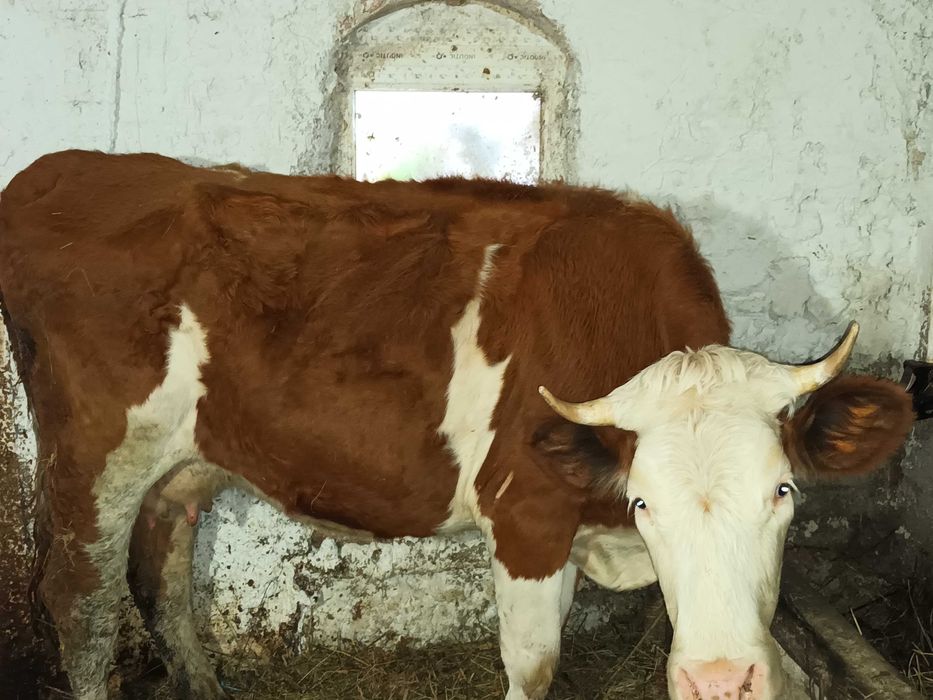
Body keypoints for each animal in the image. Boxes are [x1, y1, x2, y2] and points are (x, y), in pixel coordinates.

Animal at [0, 150, 914, 700]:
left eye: (783, 492)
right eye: (642, 501)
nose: (720, 679)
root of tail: (63, 170)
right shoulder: (527, 516)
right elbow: (534, 668)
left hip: (180, 461)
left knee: (161, 573)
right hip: (97, 454)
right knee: (80, 605)